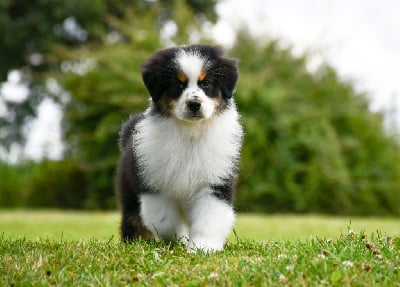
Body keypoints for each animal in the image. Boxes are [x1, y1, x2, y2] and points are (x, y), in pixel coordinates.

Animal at [117, 44, 242, 252]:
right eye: (178, 84)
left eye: (206, 83)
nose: (194, 104)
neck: (190, 132)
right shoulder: (154, 184)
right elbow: (165, 220)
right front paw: (179, 240)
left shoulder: (213, 182)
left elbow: (209, 217)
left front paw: (202, 247)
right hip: (129, 190)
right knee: (133, 220)